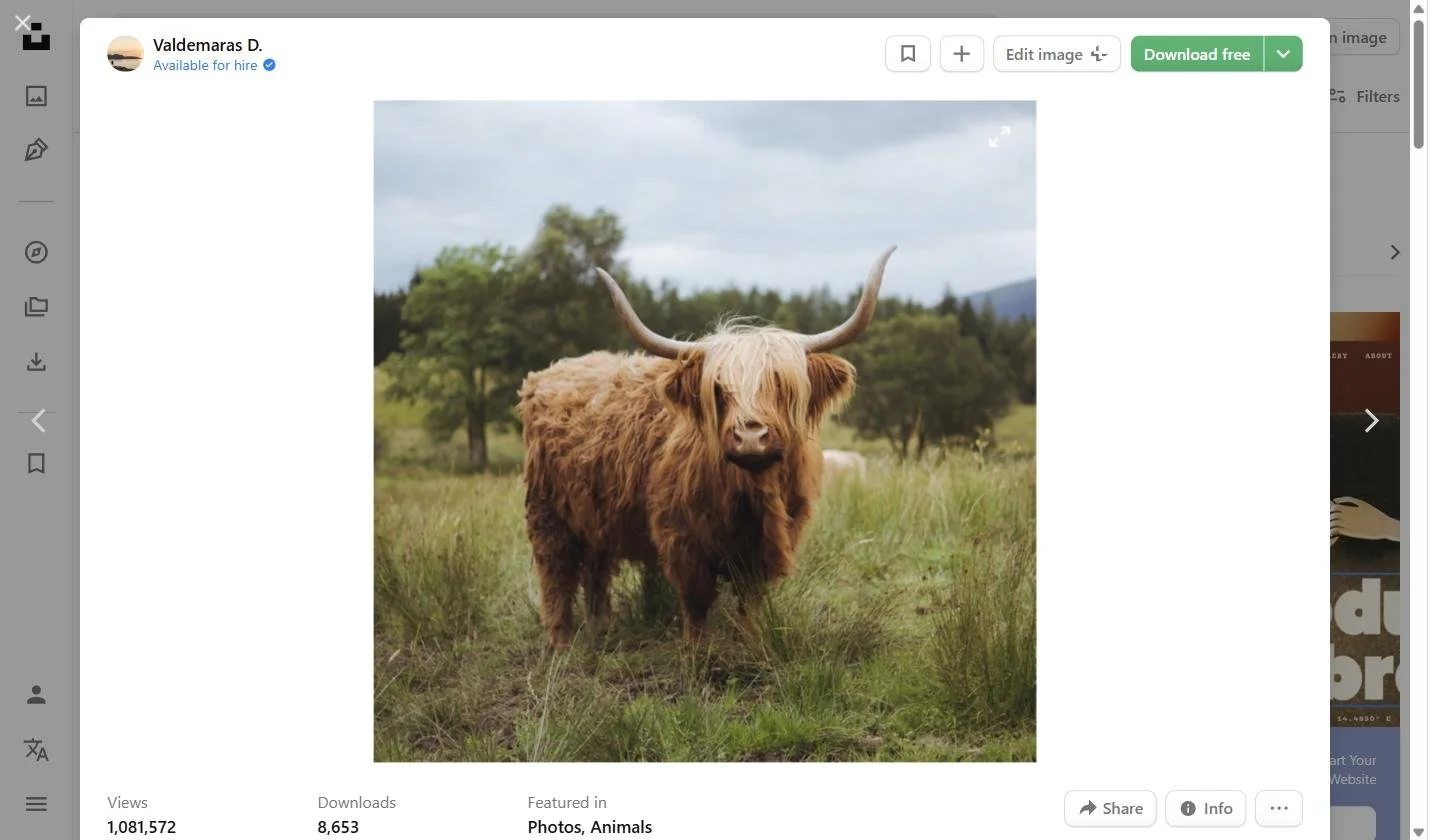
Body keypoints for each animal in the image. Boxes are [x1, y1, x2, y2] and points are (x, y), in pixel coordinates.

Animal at [518, 247, 896, 648]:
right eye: (718, 388)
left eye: (780, 384)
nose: (750, 437)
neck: (751, 495)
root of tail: (552, 371)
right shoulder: (683, 540)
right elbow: (696, 602)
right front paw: (698, 652)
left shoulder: (767, 546)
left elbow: (750, 602)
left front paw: (750, 642)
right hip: (546, 512)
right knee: (555, 574)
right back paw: (560, 643)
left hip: (594, 513)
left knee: (596, 568)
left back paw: (601, 629)